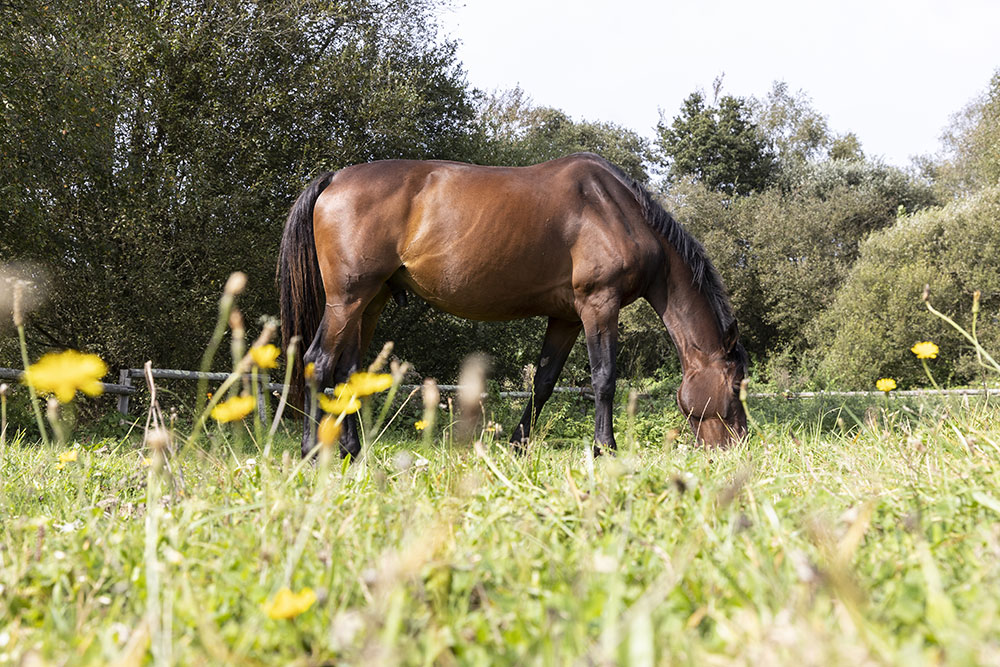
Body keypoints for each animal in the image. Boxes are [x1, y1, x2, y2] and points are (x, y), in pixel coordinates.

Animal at [278, 152, 748, 460]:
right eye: (734, 386)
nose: (738, 444)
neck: (617, 211)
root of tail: (334, 179)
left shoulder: (566, 316)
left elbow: (544, 382)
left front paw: (518, 444)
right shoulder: (600, 304)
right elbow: (604, 378)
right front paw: (605, 448)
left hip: (369, 303)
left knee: (347, 371)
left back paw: (352, 450)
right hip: (347, 300)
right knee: (319, 362)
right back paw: (311, 451)